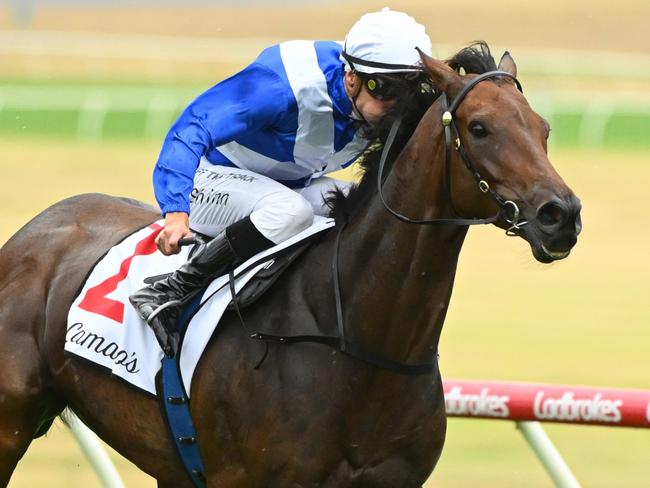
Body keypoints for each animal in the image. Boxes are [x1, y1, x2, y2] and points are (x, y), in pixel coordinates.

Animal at [0, 43, 576, 486]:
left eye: (544, 128)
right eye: (479, 128)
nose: (561, 215)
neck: (362, 343)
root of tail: (38, 226)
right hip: (11, 421)